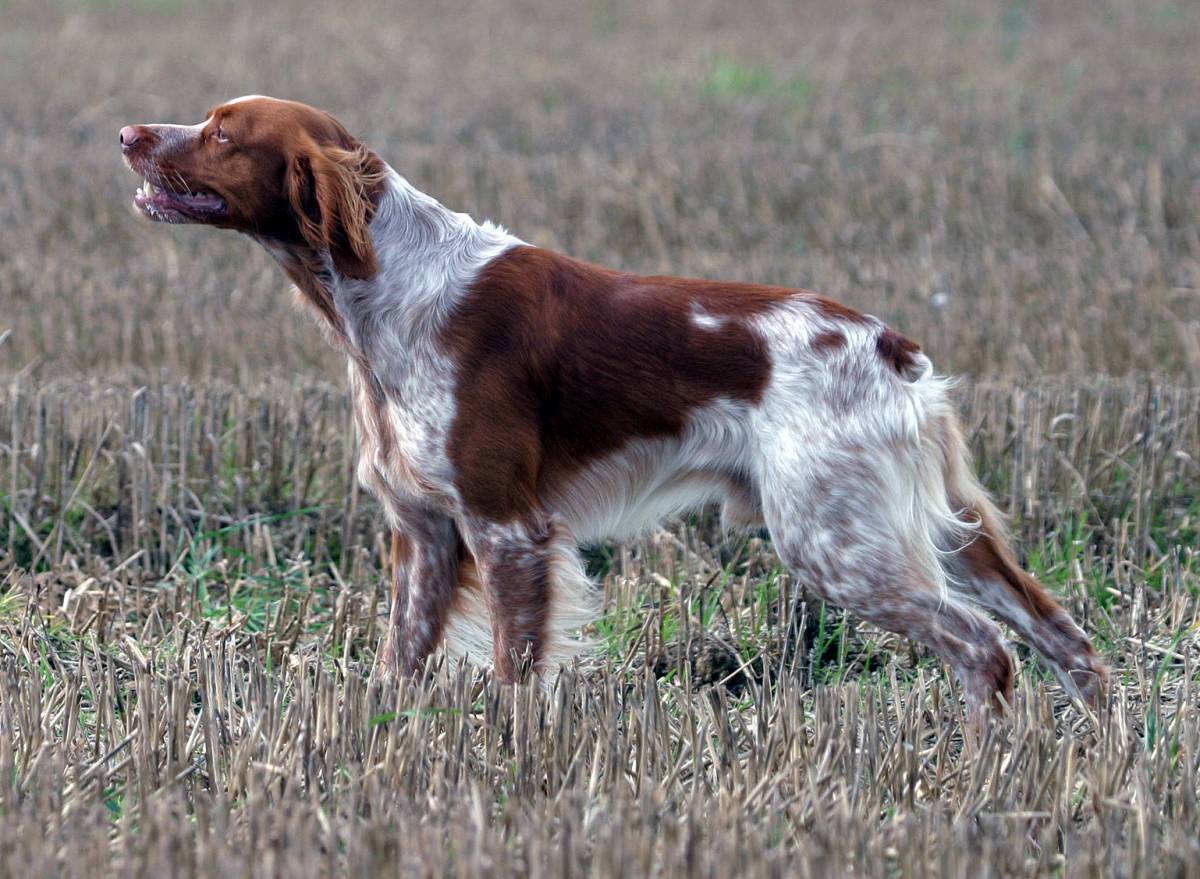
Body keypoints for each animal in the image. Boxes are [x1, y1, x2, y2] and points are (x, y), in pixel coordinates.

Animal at [121, 96, 1104, 715]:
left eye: (221, 132)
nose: (129, 132)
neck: (388, 288)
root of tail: (893, 348)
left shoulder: (508, 526)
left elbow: (517, 671)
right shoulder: (425, 532)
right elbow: (402, 660)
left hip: (837, 541)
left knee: (984, 649)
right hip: (943, 532)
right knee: (1066, 638)